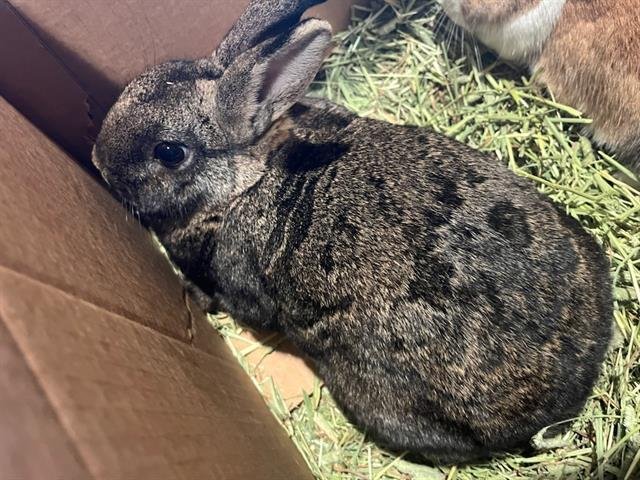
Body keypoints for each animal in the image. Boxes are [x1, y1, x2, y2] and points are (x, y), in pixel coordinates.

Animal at [92, 0, 613, 464]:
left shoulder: (241, 278)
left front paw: (192, 292)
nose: (99, 161)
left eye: (169, 152)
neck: (245, 179)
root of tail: (573, 385)